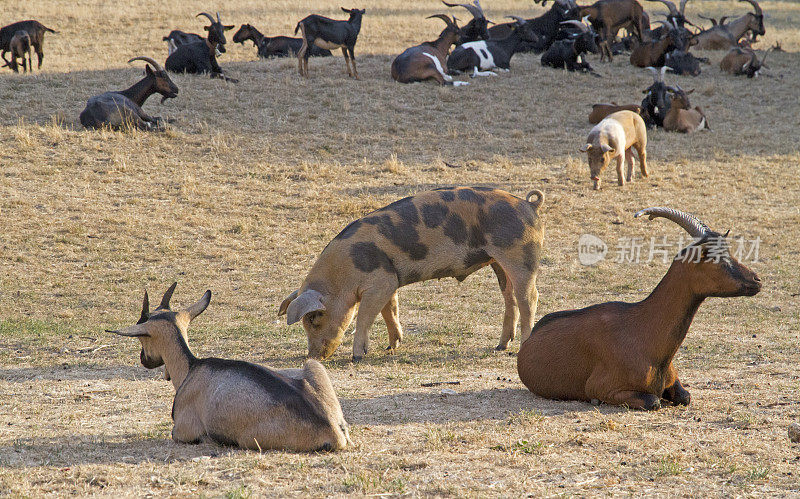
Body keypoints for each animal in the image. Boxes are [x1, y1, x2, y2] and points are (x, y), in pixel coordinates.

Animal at [109, 286, 350, 454]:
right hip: (313, 366)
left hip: (249, 440)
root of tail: (332, 431)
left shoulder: (182, 430)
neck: (191, 367)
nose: (144, 360)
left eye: (143, 338)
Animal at [278, 188, 548, 364]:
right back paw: (500, 346)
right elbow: (390, 311)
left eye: (314, 319)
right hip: (499, 262)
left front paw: (357, 357)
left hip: (520, 255)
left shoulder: (379, 282)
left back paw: (521, 346)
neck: (342, 273)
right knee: (510, 296)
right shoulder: (389, 280)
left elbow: (364, 317)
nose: (312, 356)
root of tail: (529, 205)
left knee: (530, 297)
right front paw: (392, 346)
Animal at [520, 207, 764, 410]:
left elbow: (685, 397)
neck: (642, 329)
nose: (757, 280)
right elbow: (653, 401)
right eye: (717, 258)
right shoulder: (603, 387)